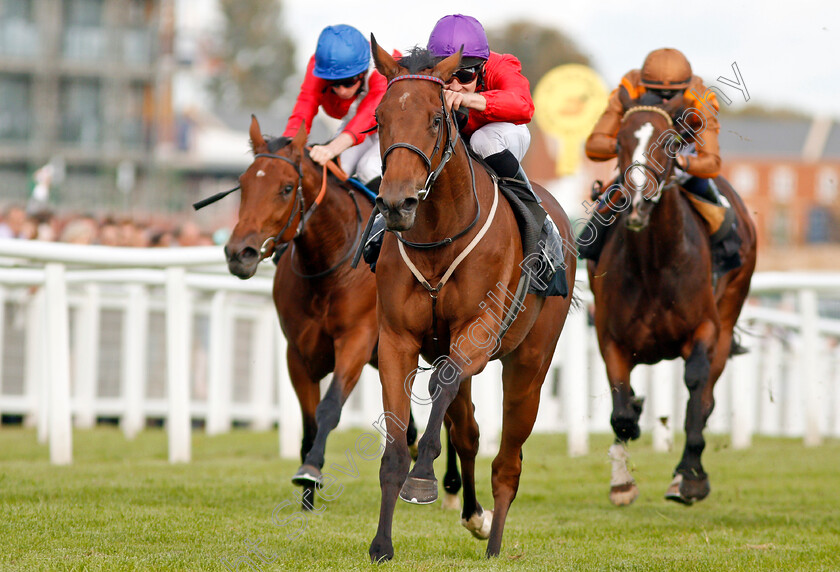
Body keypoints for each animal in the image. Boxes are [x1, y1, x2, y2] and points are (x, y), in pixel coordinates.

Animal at [223, 116, 462, 510]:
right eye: (242, 184)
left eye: (286, 188)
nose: (238, 253)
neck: (327, 266)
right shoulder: (298, 352)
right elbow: (309, 419)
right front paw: (306, 493)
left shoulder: (356, 340)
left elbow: (330, 406)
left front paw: (312, 470)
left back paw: (453, 488)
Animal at [368, 41, 576, 564]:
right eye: (379, 117)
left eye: (435, 119)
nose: (396, 204)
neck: (438, 235)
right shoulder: (397, 340)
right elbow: (397, 443)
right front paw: (382, 544)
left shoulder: (478, 336)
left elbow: (442, 388)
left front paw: (423, 479)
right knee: (468, 428)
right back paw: (474, 516)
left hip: (529, 364)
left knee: (508, 460)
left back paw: (495, 541)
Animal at [588, 94, 756, 504]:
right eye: (619, 142)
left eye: (671, 144)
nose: (636, 202)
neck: (655, 265)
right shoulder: (610, 338)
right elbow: (621, 411)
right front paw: (622, 480)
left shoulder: (706, 328)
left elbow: (696, 390)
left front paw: (689, 476)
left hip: (730, 310)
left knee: (707, 398)